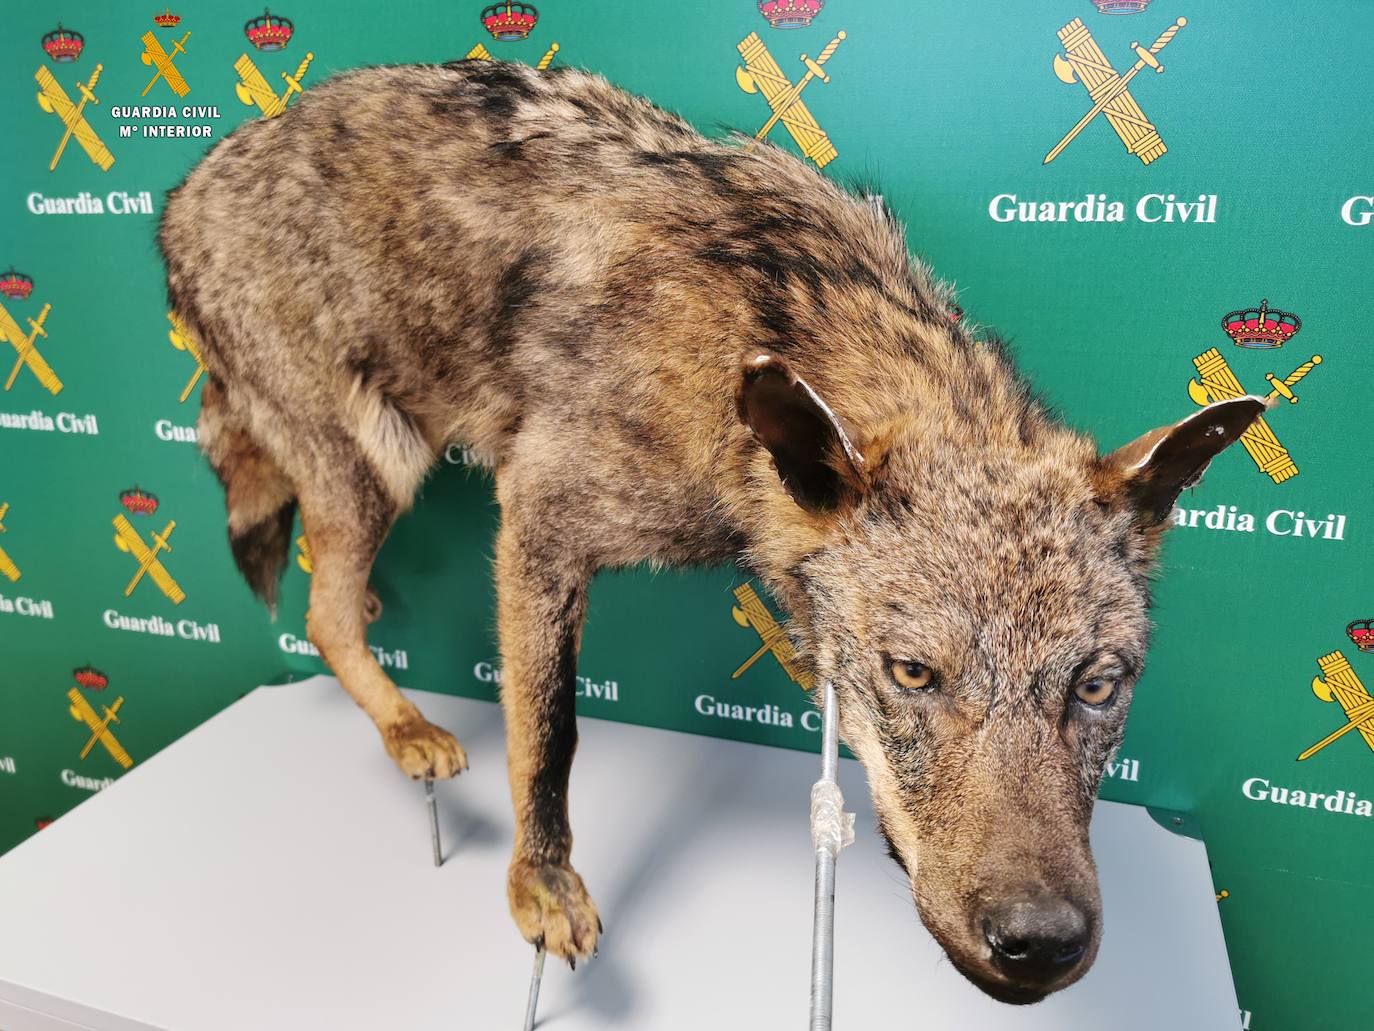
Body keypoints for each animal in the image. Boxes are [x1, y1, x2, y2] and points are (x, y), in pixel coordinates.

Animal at [159, 59, 1263, 1003]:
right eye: (913, 672)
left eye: (1098, 686)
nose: (1042, 942)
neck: (745, 344)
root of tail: (183, 192)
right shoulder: (538, 518)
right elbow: (548, 735)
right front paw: (540, 885)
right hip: (376, 468)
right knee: (321, 613)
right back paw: (408, 729)